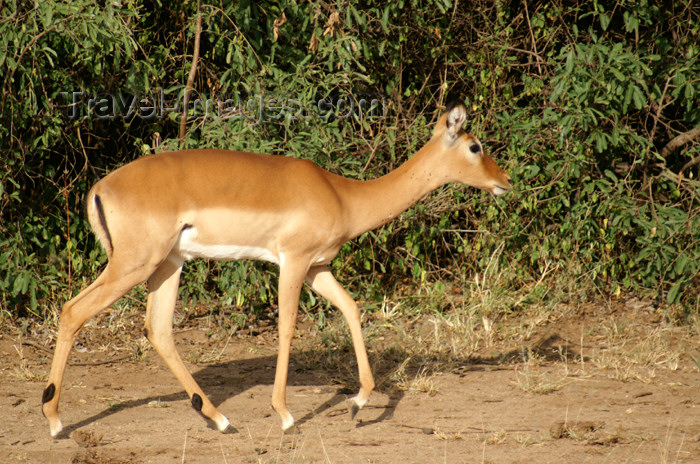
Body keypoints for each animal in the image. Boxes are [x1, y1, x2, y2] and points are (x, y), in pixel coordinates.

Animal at [42, 102, 508, 438]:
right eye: (475, 146)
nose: (505, 181)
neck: (343, 195)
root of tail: (100, 187)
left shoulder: (319, 267)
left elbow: (352, 308)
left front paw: (357, 403)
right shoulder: (294, 262)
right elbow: (286, 327)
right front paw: (285, 415)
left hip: (167, 265)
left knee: (156, 330)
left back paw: (219, 419)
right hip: (134, 264)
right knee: (73, 310)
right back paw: (55, 421)